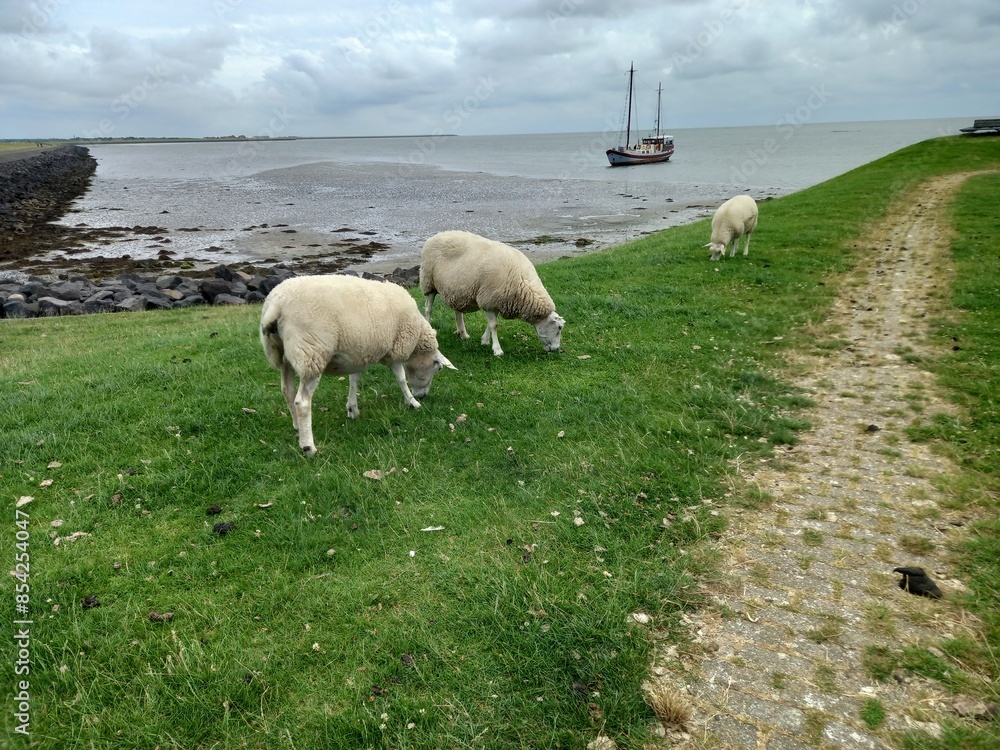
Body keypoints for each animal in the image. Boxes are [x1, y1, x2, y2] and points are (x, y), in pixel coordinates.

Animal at [259, 274, 457, 455]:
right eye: (438, 368)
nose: (423, 395)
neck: (416, 337)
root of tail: (276, 305)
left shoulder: (358, 353)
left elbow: (354, 379)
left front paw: (352, 408)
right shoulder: (394, 349)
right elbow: (401, 379)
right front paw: (412, 402)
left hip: (283, 355)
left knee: (288, 391)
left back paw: (297, 427)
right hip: (312, 353)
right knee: (302, 402)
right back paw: (308, 446)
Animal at [419, 230, 565, 356]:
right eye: (559, 328)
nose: (557, 349)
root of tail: (435, 236)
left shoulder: (495, 300)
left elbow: (490, 324)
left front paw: (484, 340)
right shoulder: (489, 299)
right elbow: (494, 325)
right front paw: (497, 350)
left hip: (457, 291)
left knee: (458, 312)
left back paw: (463, 334)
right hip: (429, 282)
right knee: (428, 309)